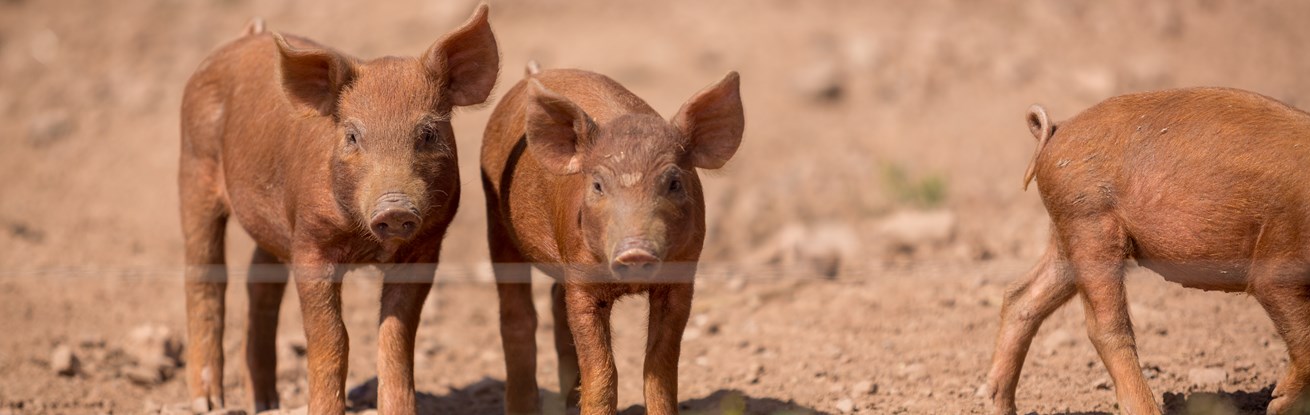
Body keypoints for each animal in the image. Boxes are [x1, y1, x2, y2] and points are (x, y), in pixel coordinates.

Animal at [177, 5, 497, 413]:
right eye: (352, 136)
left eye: (427, 134)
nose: (394, 208)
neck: (366, 245)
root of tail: (244, 37)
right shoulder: (311, 242)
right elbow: (333, 338)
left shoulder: (425, 249)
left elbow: (396, 337)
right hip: (193, 169)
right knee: (204, 274)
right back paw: (208, 401)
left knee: (260, 282)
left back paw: (264, 402)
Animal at [479, 63, 743, 415]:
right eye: (598, 185)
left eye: (674, 183)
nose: (636, 251)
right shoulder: (582, 280)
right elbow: (603, 371)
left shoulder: (682, 278)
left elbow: (659, 369)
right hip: (495, 217)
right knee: (517, 316)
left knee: (554, 301)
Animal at [986, 87, 1310, 415]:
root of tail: (1056, 129)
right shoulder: (1279, 266)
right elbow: (1304, 337)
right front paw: (1276, 404)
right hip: (1090, 223)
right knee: (1105, 327)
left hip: (1067, 231)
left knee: (1021, 296)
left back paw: (1000, 405)